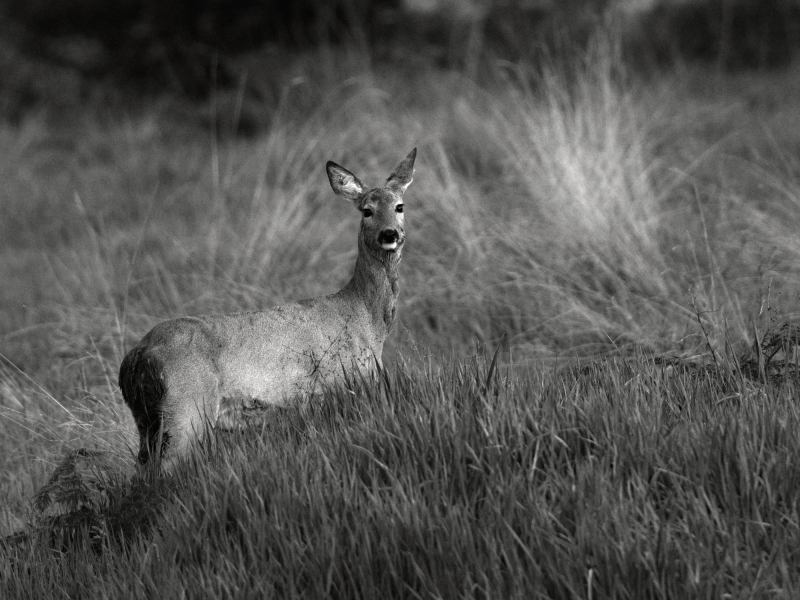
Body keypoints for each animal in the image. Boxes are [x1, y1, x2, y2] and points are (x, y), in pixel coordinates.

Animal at [121, 148, 418, 466]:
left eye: (399, 206)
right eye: (367, 210)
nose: (389, 234)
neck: (366, 319)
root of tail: (138, 354)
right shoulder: (343, 381)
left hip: (147, 421)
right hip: (186, 406)